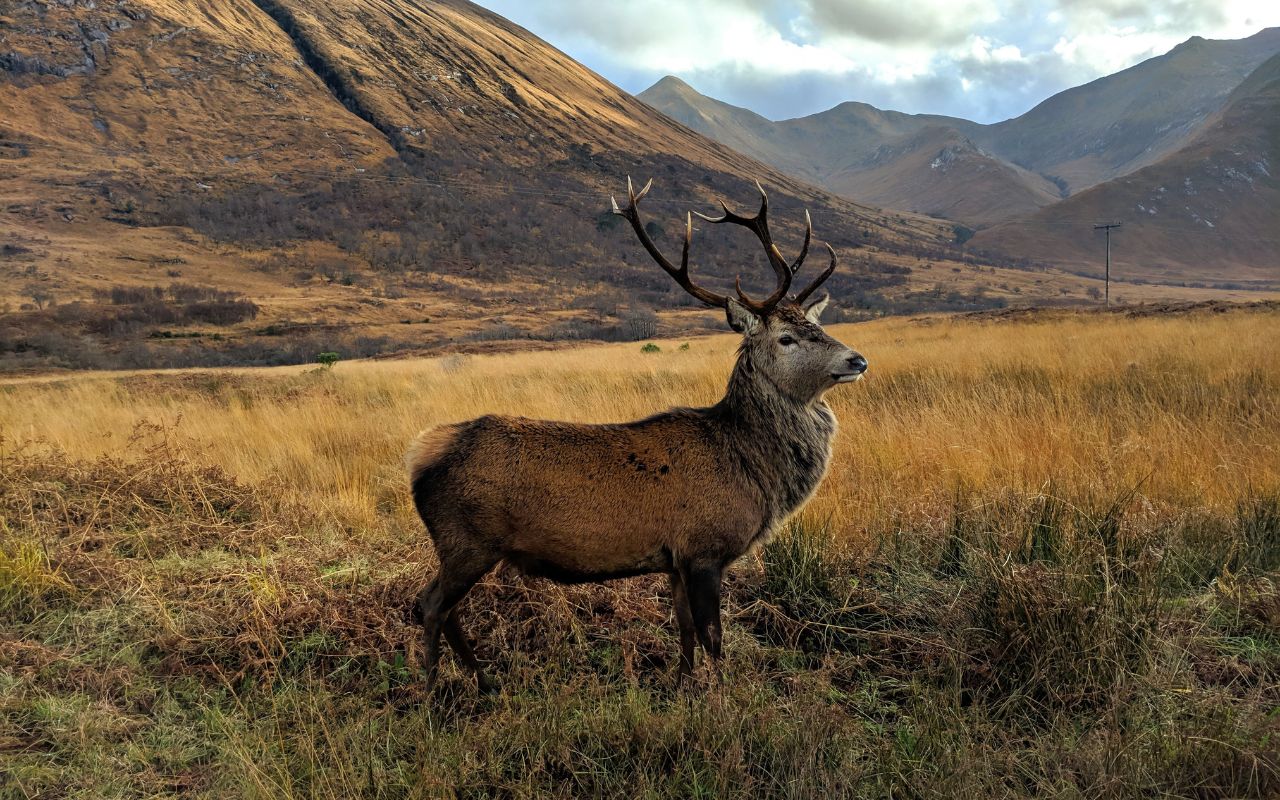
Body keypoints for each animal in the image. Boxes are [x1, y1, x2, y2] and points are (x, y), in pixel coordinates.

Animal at [406, 178, 868, 693]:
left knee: (445, 609)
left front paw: (682, 684)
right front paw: (726, 697)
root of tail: (420, 453)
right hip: (466, 539)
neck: (750, 469)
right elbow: (714, 636)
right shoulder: (704, 548)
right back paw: (433, 689)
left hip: (464, 545)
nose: (857, 359)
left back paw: (483, 680)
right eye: (786, 338)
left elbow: (684, 628)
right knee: (430, 604)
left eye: (819, 325)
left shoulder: (675, 559)